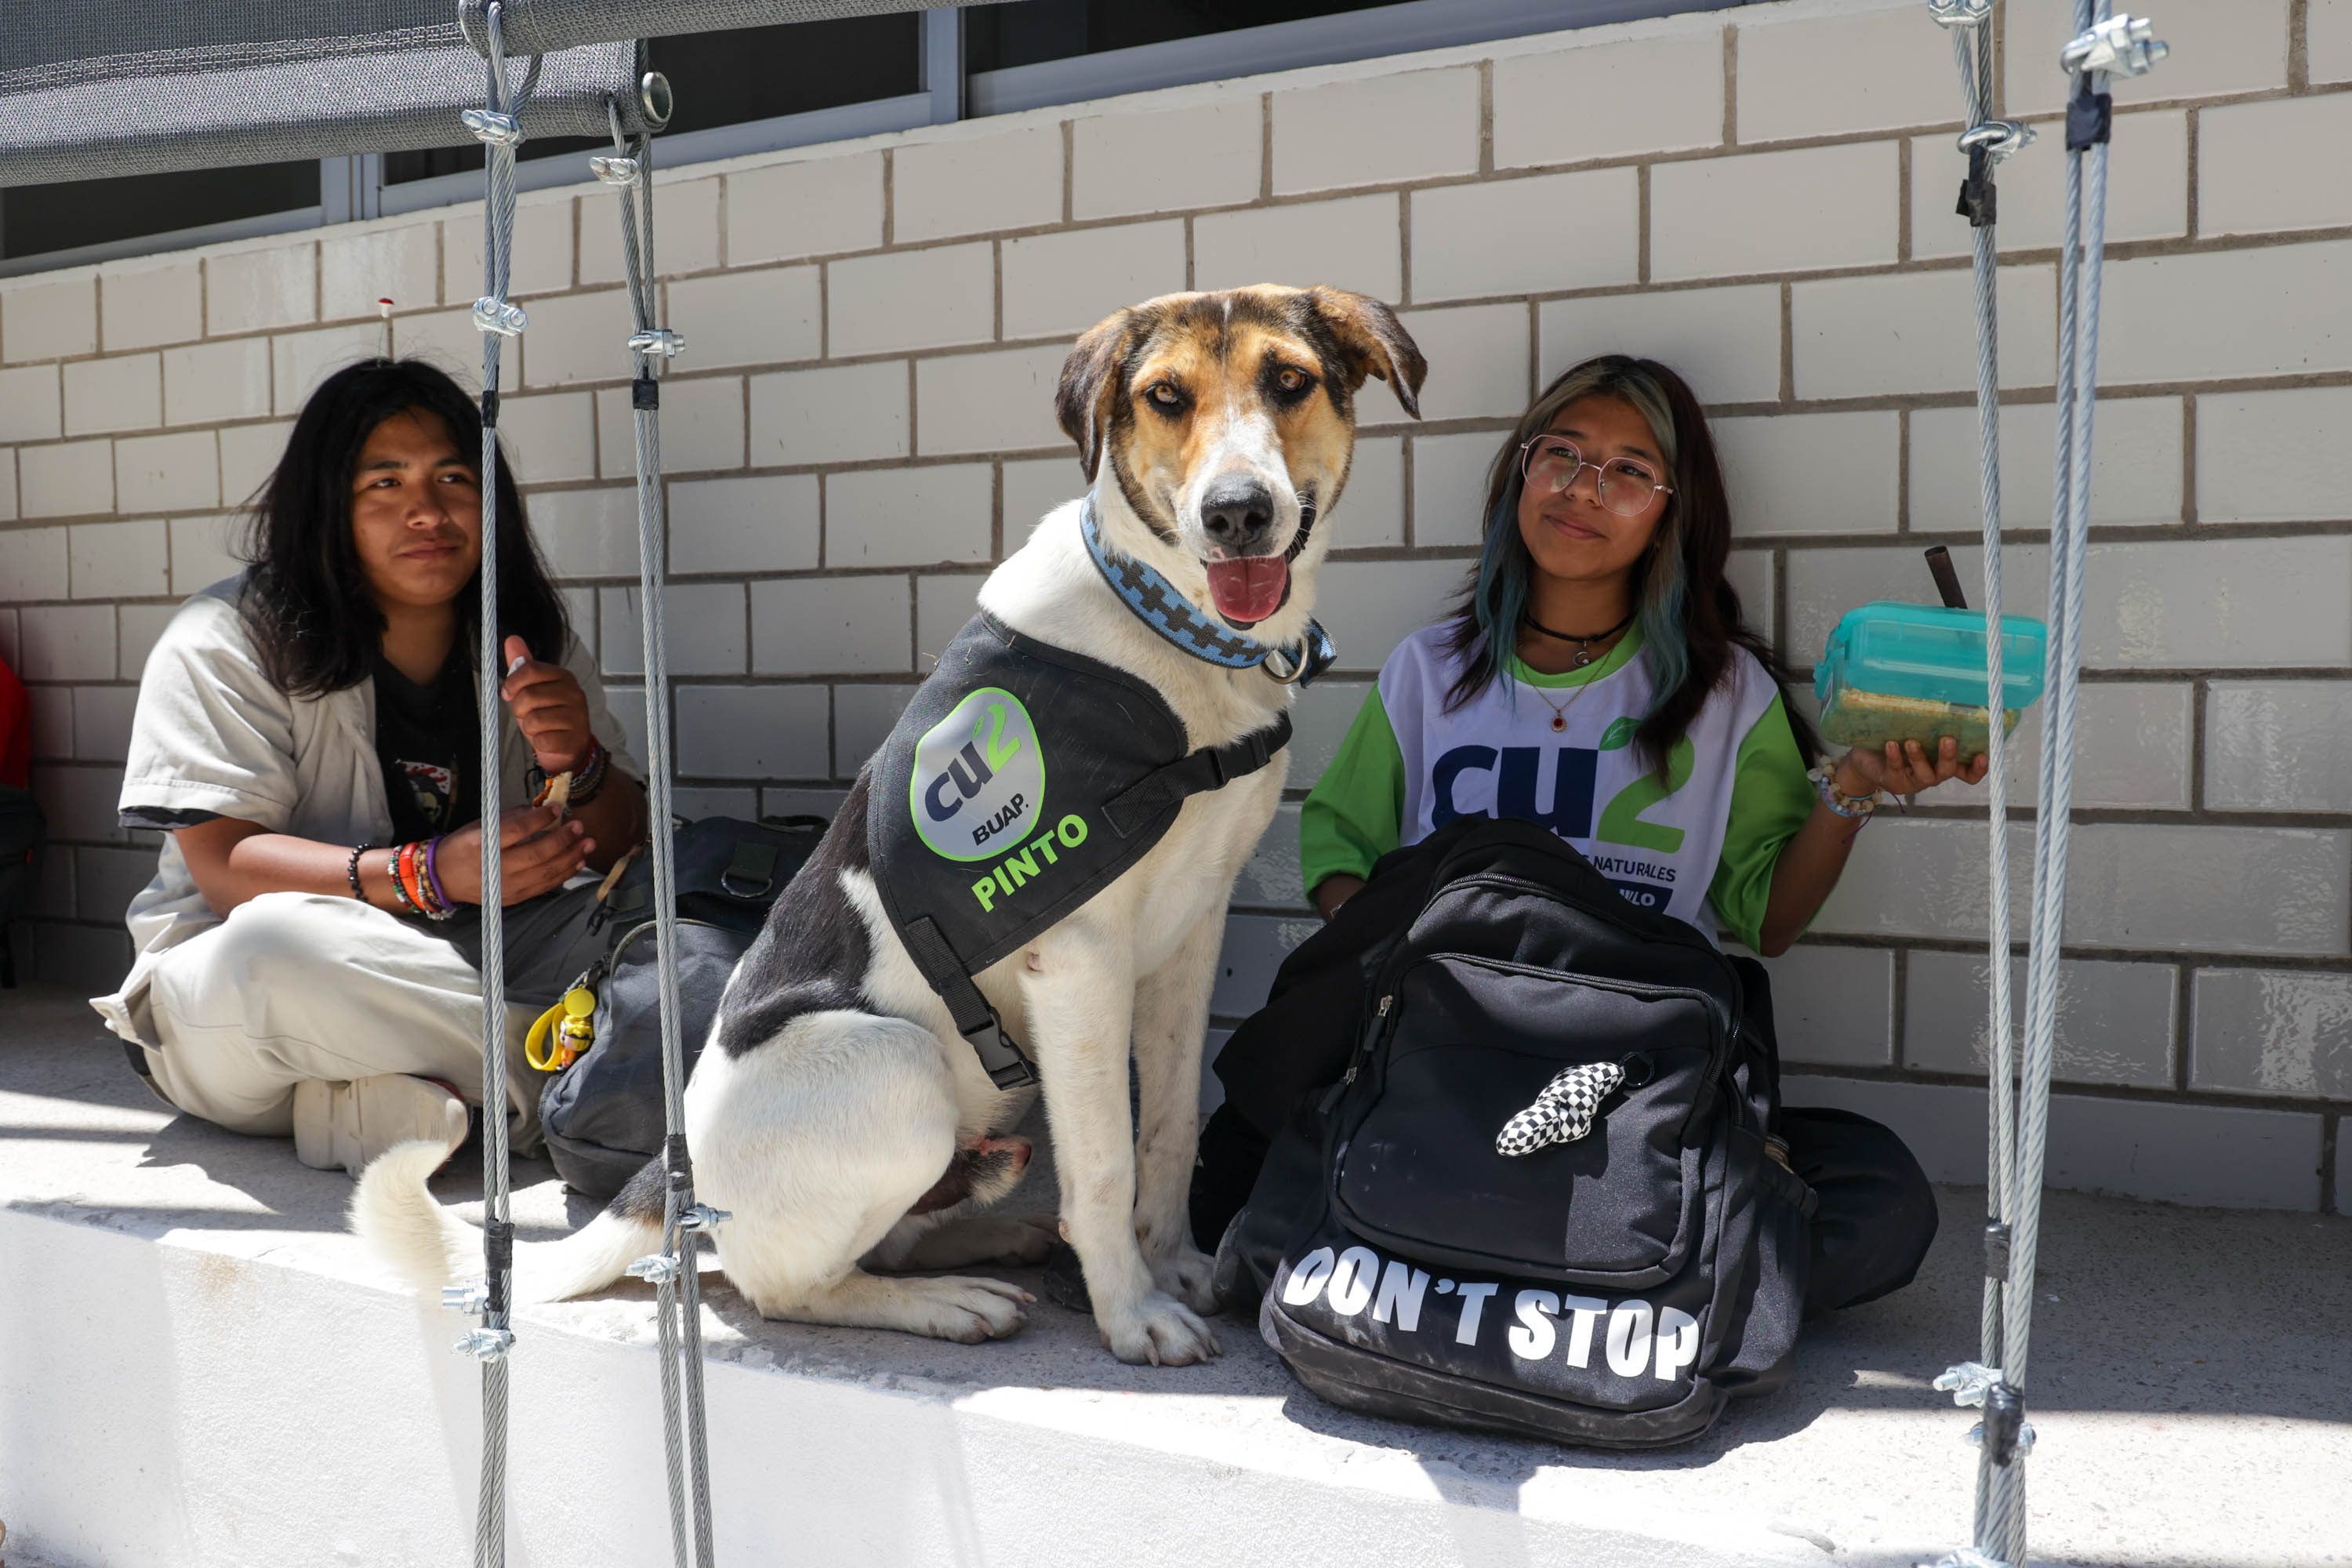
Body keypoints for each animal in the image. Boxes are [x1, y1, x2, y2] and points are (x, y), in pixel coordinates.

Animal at [362, 288, 1430, 1363]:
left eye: (1290, 379)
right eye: (1166, 396)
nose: (1236, 513)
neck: (1169, 627)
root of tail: (673, 1175)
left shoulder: (1189, 936)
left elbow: (1168, 1132)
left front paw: (1168, 1268)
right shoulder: (1079, 956)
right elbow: (1105, 1165)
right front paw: (1133, 1312)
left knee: (897, 1233)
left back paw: (994, 1243)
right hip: (897, 1062)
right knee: (786, 1286)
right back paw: (948, 1300)